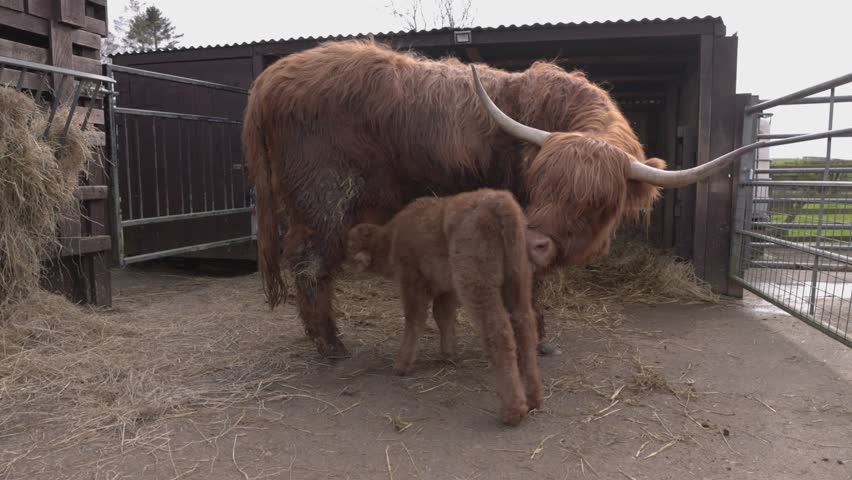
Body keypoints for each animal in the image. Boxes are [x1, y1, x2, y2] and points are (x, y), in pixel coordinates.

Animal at [242, 38, 743, 359]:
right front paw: (535, 336)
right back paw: (330, 344)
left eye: (596, 204)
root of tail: (270, 76)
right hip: (323, 199)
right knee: (309, 262)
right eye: (540, 185)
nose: (538, 242)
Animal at [345, 188, 555, 426]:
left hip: (478, 285)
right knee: (525, 326)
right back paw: (534, 399)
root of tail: (498, 201)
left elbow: (414, 319)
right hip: (518, 280)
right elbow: (443, 315)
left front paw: (401, 365)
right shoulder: (447, 288)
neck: (392, 236)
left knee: (499, 332)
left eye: (349, 246)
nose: (344, 262)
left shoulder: (412, 280)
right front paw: (449, 354)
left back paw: (512, 411)